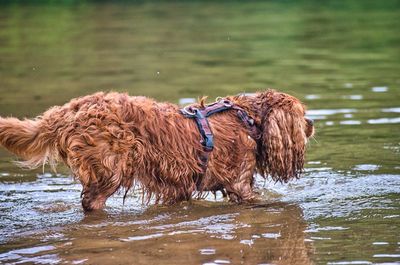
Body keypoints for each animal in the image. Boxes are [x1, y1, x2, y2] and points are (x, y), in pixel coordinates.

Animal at [0, 90, 312, 210]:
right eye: (302, 115)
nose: (312, 124)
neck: (248, 118)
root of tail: (70, 110)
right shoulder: (240, 183)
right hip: (109, 168)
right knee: (91, 200)